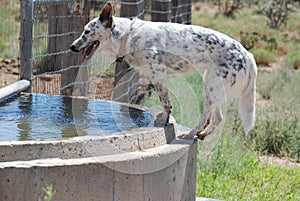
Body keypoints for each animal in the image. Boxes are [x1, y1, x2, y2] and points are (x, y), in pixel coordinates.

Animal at [70, 2, 258, 140]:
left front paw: (163, 121)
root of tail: (248, 55)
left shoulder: (158, 75)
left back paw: (189, 134)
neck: (127, 35)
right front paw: (164, 119)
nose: (71, 47)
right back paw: (201, 135)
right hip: (212, 88)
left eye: (86, 31)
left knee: (206, 117)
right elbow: (165, 103)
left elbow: (166, 103)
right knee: (218, 118)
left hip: (211, 89)